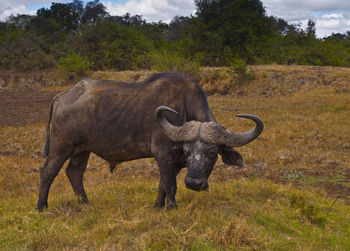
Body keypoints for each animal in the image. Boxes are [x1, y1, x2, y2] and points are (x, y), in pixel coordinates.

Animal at [37, 71, 262, 211]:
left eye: (212, 153)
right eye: (187, 151)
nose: (194, 183)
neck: (183, 106)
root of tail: (64, 95)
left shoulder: (172, 161)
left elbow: (163, 183)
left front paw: (158, 206)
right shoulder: (163, 155)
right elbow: (170, 184)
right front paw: (172, 207)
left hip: (82, 150)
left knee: (74, 172)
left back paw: (85, 203)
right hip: (60, 147)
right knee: (48, 171)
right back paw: (41, 206)